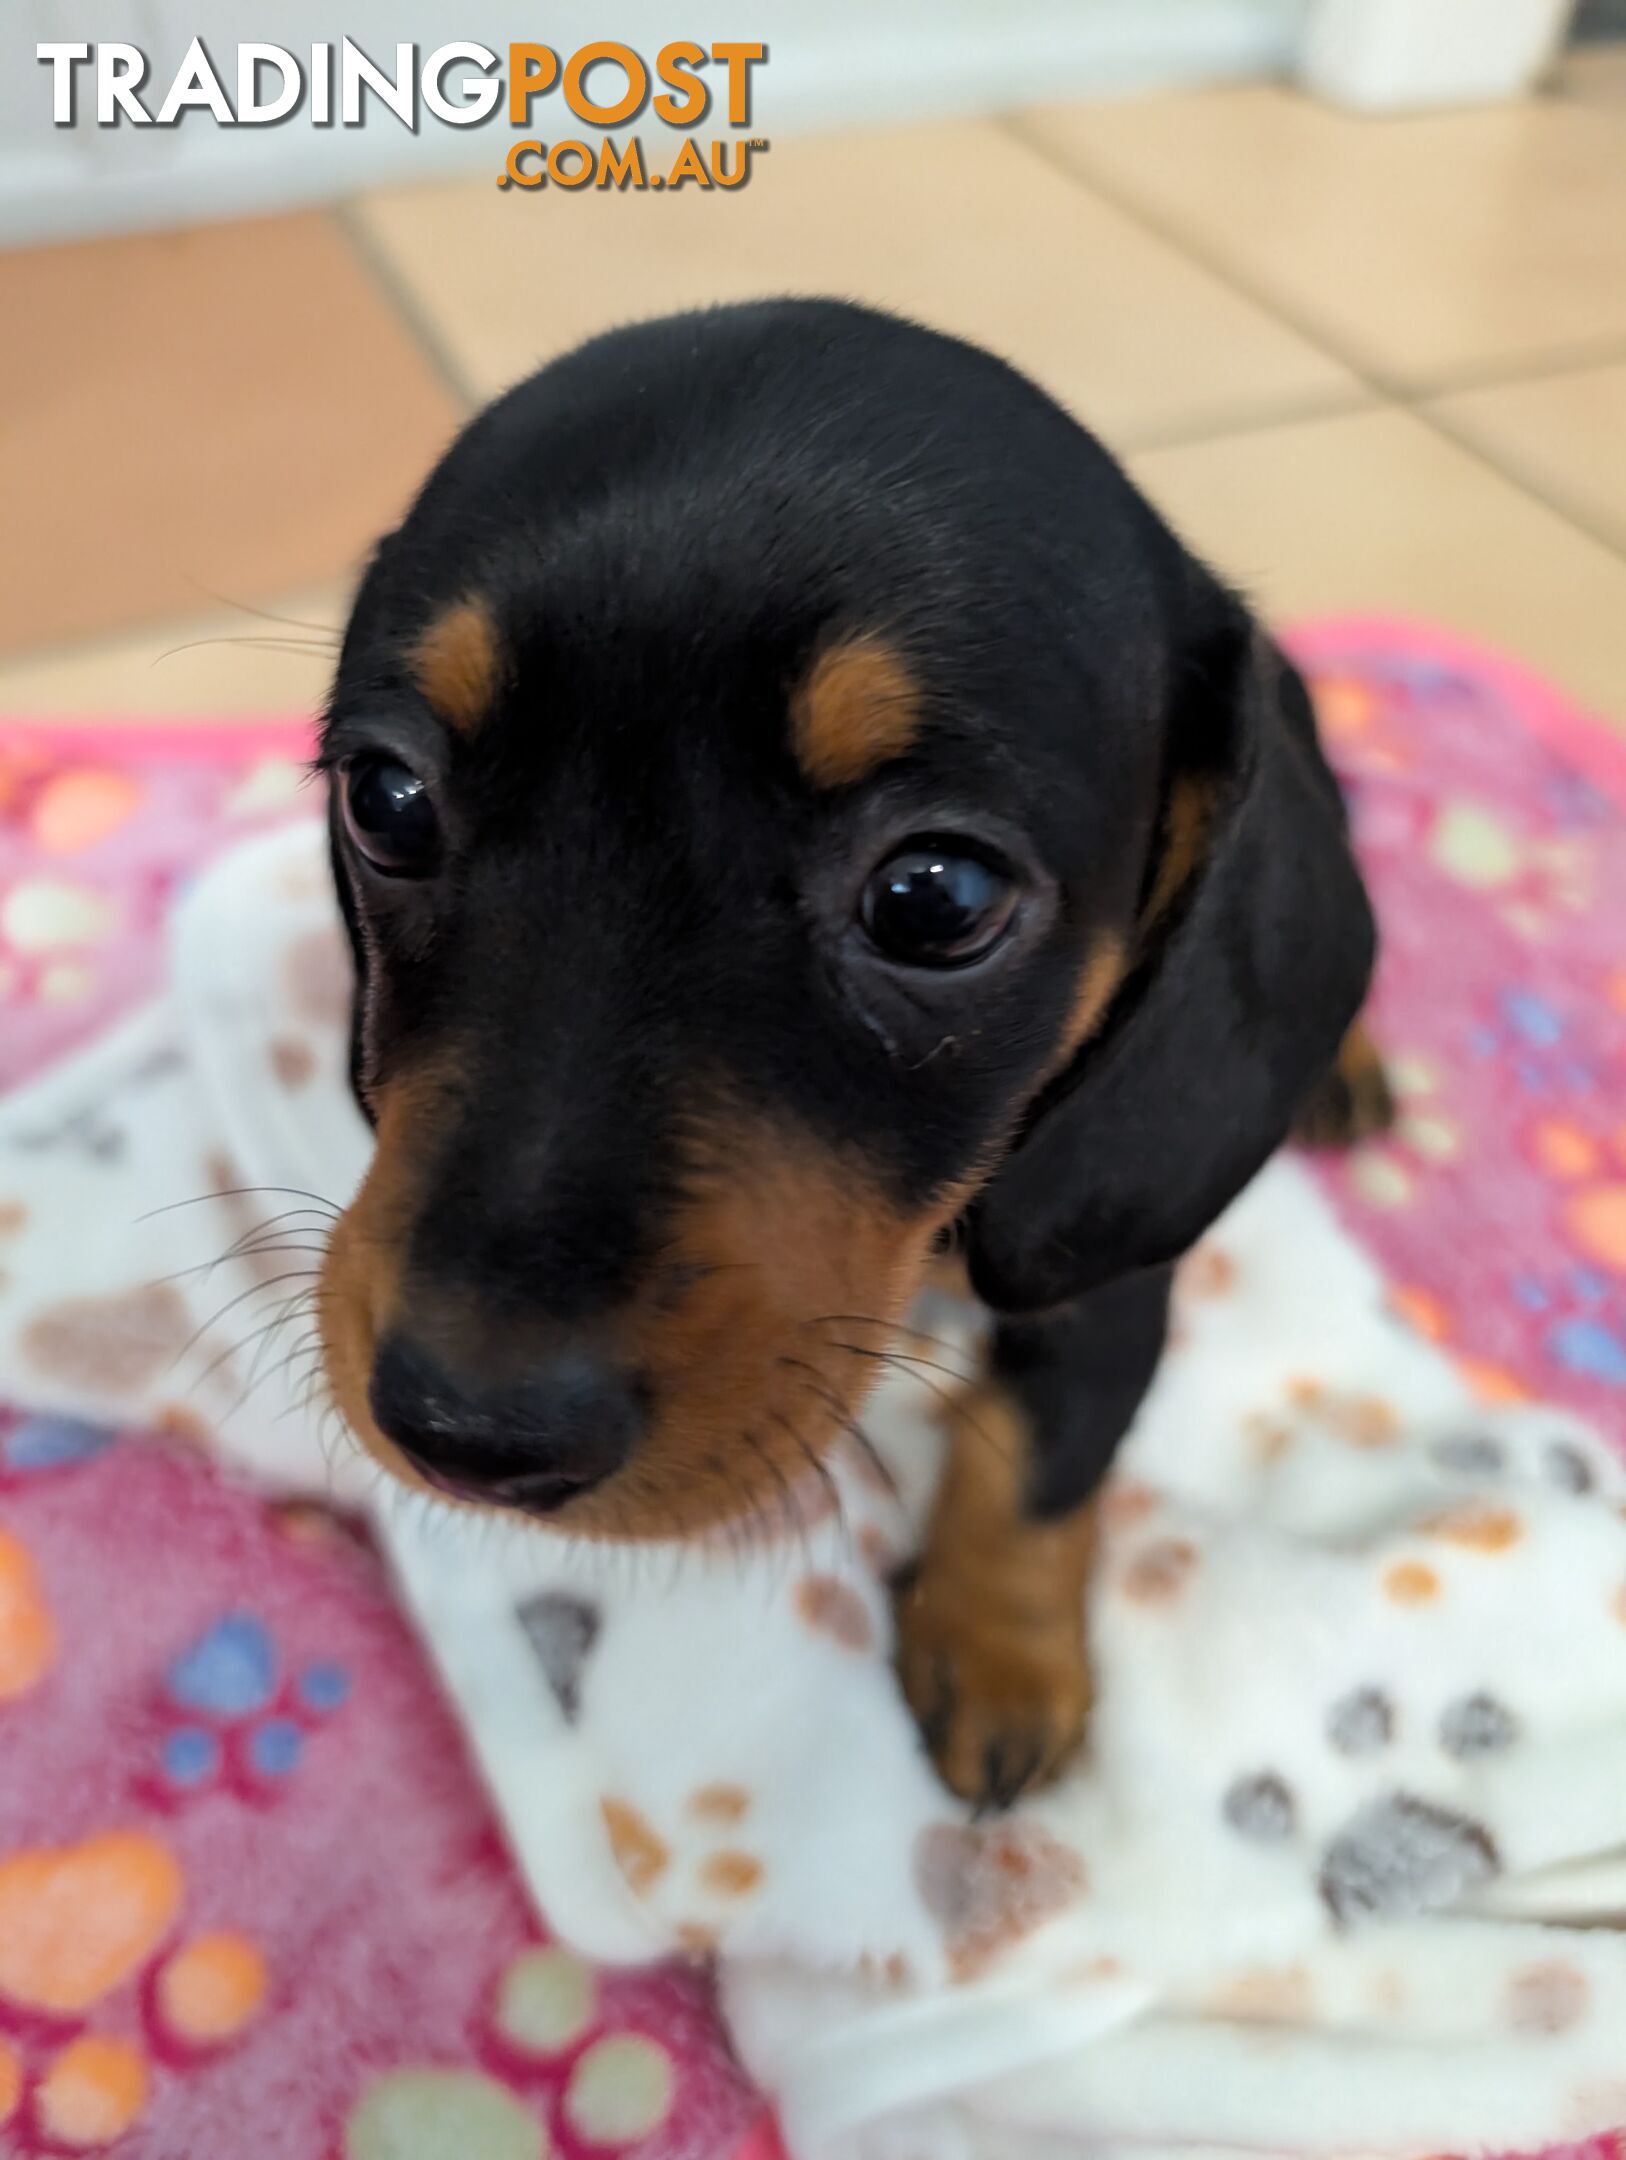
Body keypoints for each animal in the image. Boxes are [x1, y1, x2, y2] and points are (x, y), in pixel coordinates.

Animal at [317, 295, 1381, 1814]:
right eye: (387, 799)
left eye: (937, 897)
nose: (466, 1430)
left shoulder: (1105, 1262)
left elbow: (1043, 1454)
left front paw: (998, 1655)